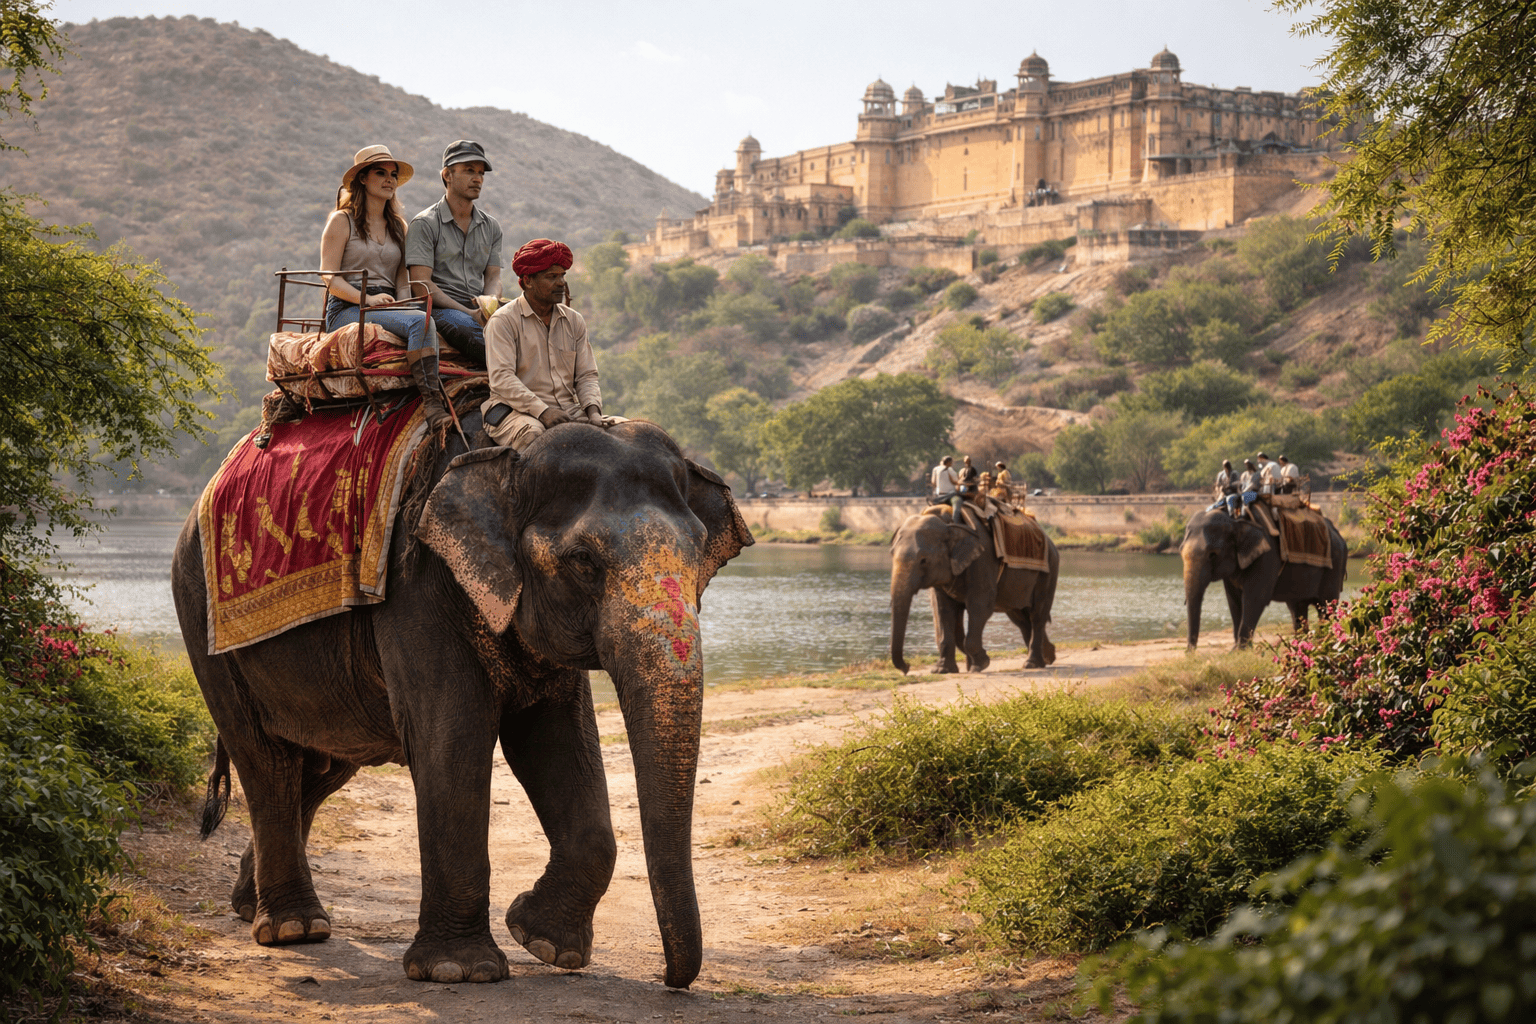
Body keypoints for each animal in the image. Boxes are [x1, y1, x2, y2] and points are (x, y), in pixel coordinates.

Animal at [169, 416, 753, 989]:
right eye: (583, 560)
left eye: (700, 554)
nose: (671, 979)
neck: (511, 456)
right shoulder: (418, 584)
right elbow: (452, 737)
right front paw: (459, 970)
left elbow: (557, 741)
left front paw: (544, 944)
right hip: (201, 619)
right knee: (266, 762)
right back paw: (294, 929)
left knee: (320, 769)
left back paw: (253, 907)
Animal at [888, 509, 1059, 673]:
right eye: (892, 554)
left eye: (924, 560)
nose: (907, 667)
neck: (947, 522)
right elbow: (943, 610)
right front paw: (942, 670)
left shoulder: (983, 560)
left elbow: (980, 606)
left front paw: (980, 665)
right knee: (1020, 618)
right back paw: (1048, 657)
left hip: (1049, 570)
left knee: (1037, 615)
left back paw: (1033, 664)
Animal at [1181, 506, 1347, 649]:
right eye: (1181, 550)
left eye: (1212, 554)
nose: (1190, 653)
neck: (1235, 519)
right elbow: (1234, 600)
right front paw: (1237, 650)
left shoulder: (1267, 556)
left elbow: (1254, 599)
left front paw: (1238, 651)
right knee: (1297, 608)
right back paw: (1302, 645)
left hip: (1334, 566)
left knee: (1326, 606)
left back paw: (1326, 642)